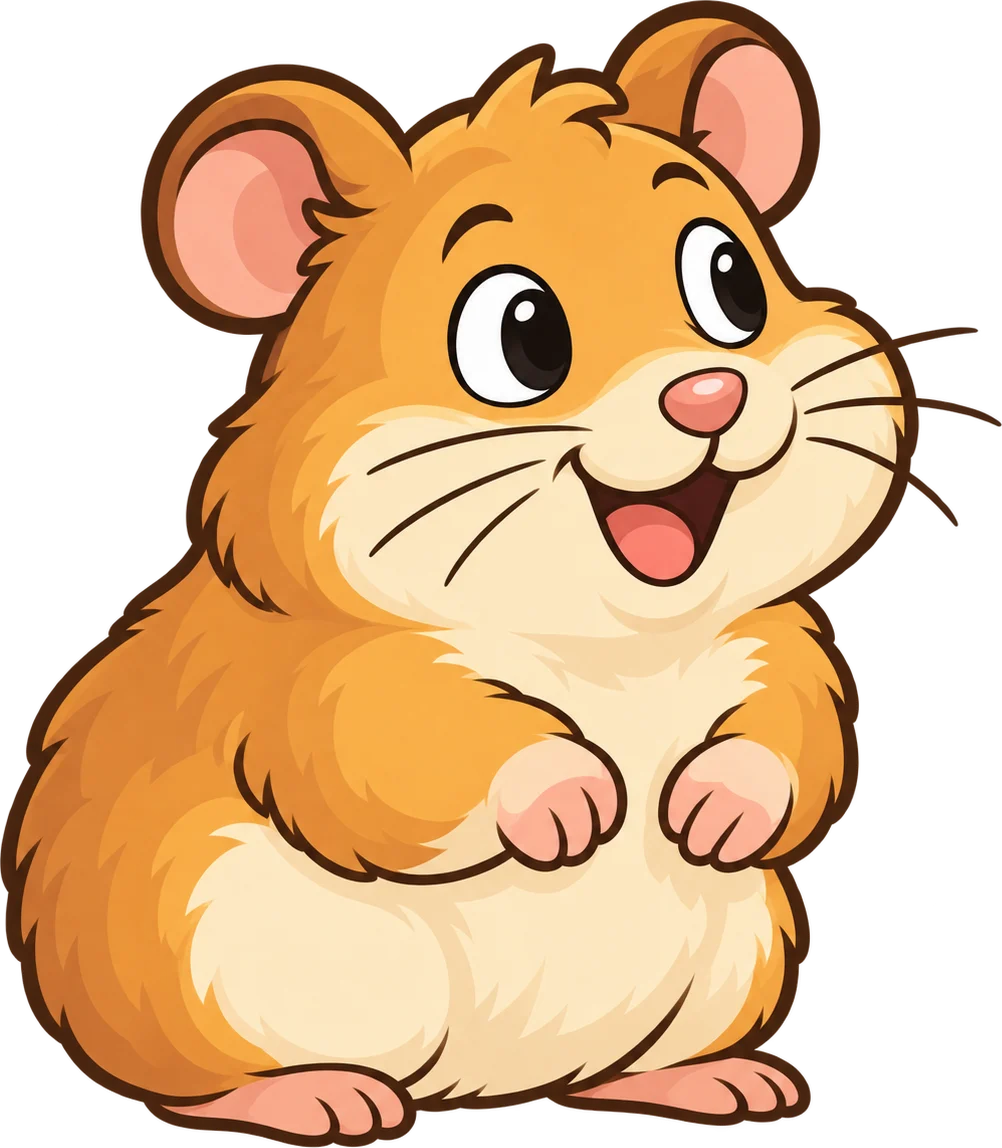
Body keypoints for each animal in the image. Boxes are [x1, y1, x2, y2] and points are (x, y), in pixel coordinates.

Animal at [4, 3, 995, 1145]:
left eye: (732, 282)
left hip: (735, 953)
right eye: (520, 334)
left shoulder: (773, 639)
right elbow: (395, 746)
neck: (604, 640)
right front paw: (573, 800)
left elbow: (794, 731)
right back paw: (318, 1096)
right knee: (196, 1079)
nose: (710, 393)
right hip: (203, 964)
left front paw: (712, 807)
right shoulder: (314, 675)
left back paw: (715, 1083)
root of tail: (475, 1086)